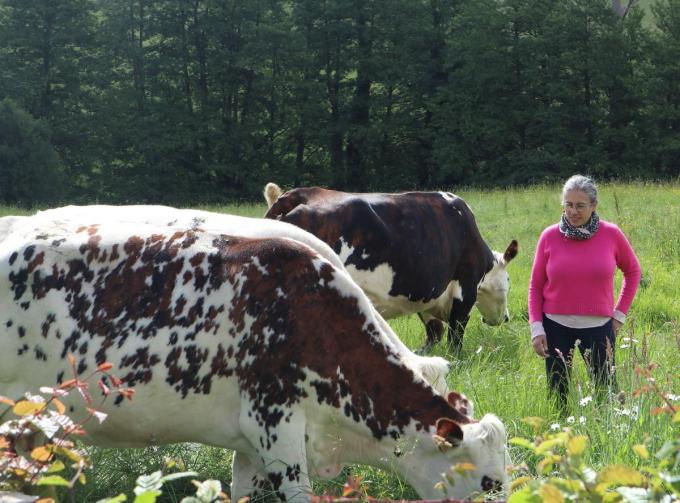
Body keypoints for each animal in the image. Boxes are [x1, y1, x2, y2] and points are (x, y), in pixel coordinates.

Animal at [262, 183, 516, 352]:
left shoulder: (427, 295)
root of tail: (295, 196)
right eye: (508, 282)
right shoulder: (465, 288)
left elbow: (433, 334)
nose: (505, 318)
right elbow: (455, 336)